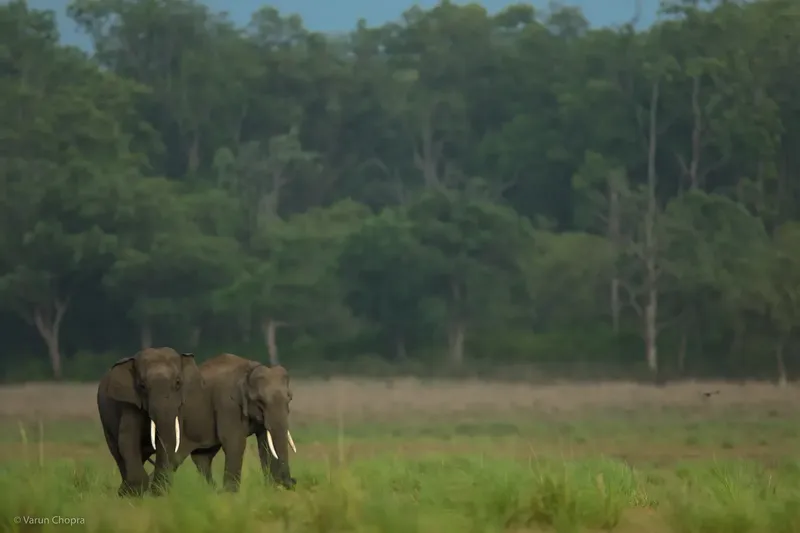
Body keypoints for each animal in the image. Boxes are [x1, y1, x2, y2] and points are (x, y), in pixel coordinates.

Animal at [96, 347, 203, 496]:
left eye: (178, 383)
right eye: (142, 386)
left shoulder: (178, 408)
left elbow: (170, 439)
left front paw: (159, 491)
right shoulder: (130, 404)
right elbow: (127, 440)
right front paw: (137, 492)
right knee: (117, 452)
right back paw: (124, 491)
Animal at [176, 353, 297, 492]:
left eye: (289, 398)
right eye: (260, 401)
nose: (292, 481)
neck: (248, 371)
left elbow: (265, 443)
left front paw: (271, 489)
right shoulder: (227, 404)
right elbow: (235, 442)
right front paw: (231, 493)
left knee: (202, 457)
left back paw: (212, 491)